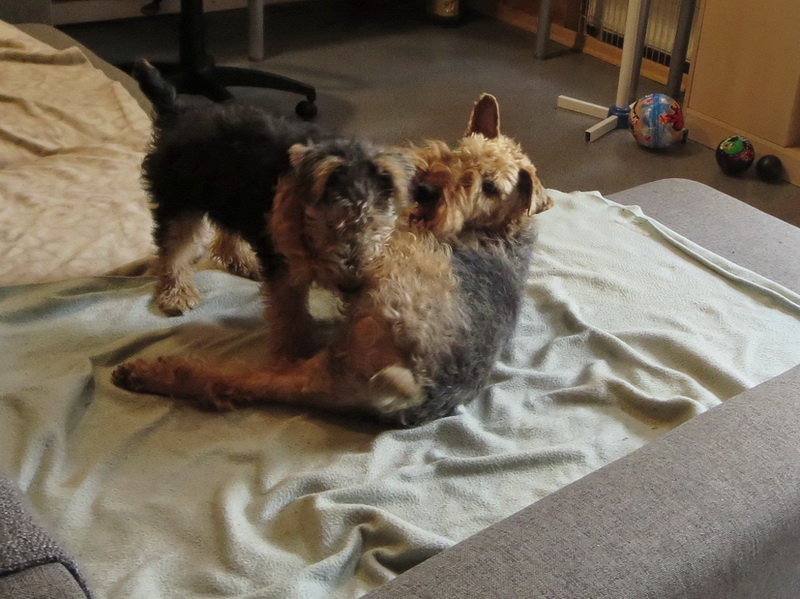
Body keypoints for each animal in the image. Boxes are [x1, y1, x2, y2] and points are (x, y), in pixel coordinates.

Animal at [113, 93, 552, 426]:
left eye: (490, 187)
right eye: (461, 152)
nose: (427, 190)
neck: (499, 233)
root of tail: (417, 391)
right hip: (317, 378)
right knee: (231, 377)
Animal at [132, 59, 414, 359]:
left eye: (375, 224)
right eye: (330, 224)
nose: (352, 285)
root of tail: (177, 111)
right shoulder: (282, 262)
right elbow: (289, 309)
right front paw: (298, 352)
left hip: (228, 190)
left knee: (225, 231)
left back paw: (244, 262)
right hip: (178, 200)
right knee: (173, 249)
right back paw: (176, 294)